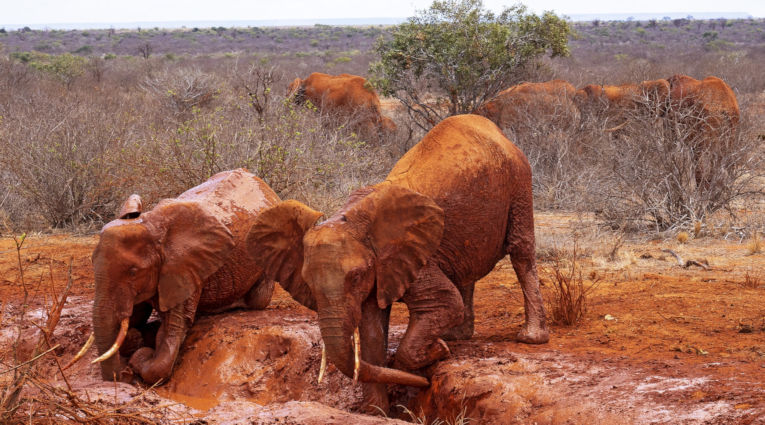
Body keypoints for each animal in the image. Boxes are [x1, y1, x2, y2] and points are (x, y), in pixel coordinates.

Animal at [80, 168, 280, 384]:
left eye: (133, 272)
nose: (124, 374)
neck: (152, 226)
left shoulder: (183, 269)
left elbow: (171, 332)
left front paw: (141, 354)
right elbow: (136, 317)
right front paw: (136, 339)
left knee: (258, 299)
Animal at [246, 112, 548, 410]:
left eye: (356, 276)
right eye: (308, 283)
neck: (353, 218)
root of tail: (495, 130)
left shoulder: (410, 259)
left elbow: (444, 304)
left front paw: (438, 351)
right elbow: (371, 333)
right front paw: (378, 412)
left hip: (520, 182)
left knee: (521, 251)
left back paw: (530, 337)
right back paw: (457, 336)